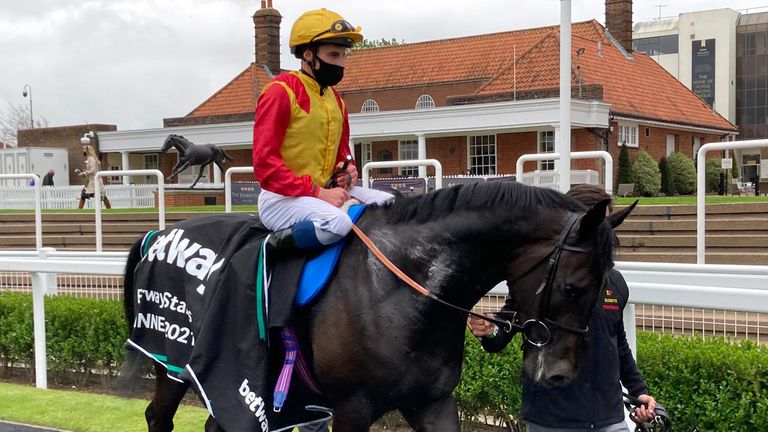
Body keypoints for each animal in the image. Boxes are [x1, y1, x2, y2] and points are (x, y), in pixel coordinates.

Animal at [121, 181, 636, 432]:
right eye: (574, 287)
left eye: (603, 291)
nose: (561, 376)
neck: (402, 288)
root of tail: (157, 233)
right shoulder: (351, 409)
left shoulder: (432, 402)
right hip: (172, 362)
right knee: (158, 418)